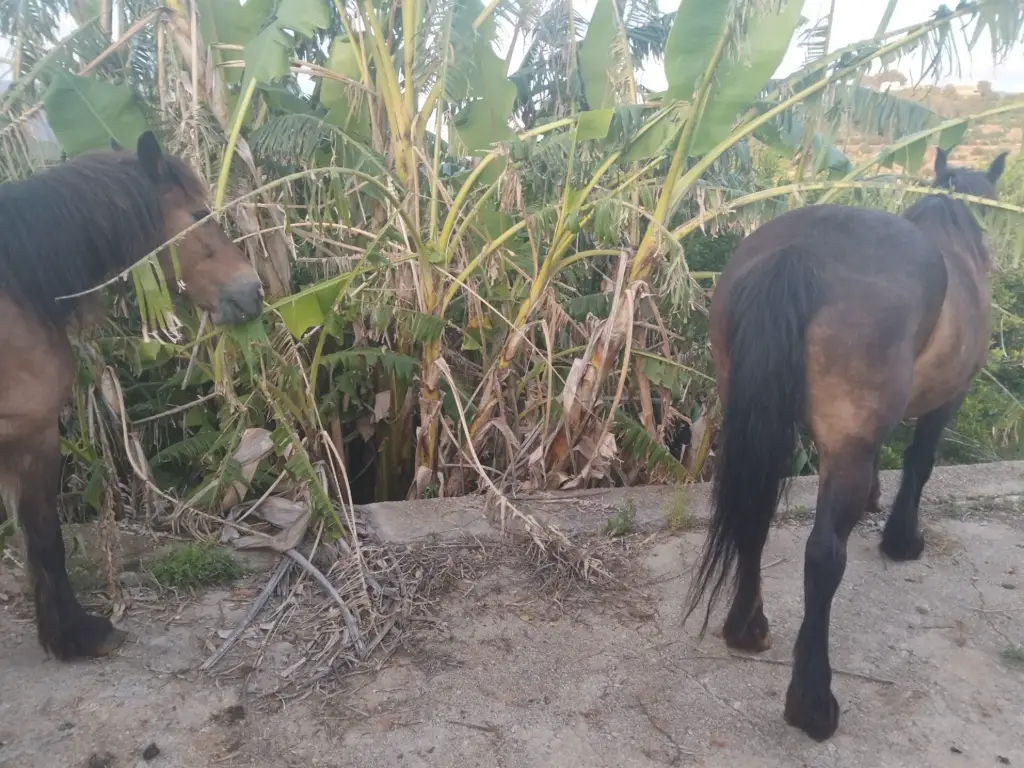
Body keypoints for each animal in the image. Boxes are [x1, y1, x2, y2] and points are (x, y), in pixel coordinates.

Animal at [0, 131, 265, 661]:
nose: (255, 291)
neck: (17, 290)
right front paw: (76, 635)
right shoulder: (31, 435)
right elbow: (46, 539)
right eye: (199, 213)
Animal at [682, 147, 1008, 741]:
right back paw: (813, 703)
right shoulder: (948, 398)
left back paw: (746, 628)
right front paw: (902, 539)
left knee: (754, 517)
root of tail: (802, 251)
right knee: (824, 555)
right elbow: (920, 462)